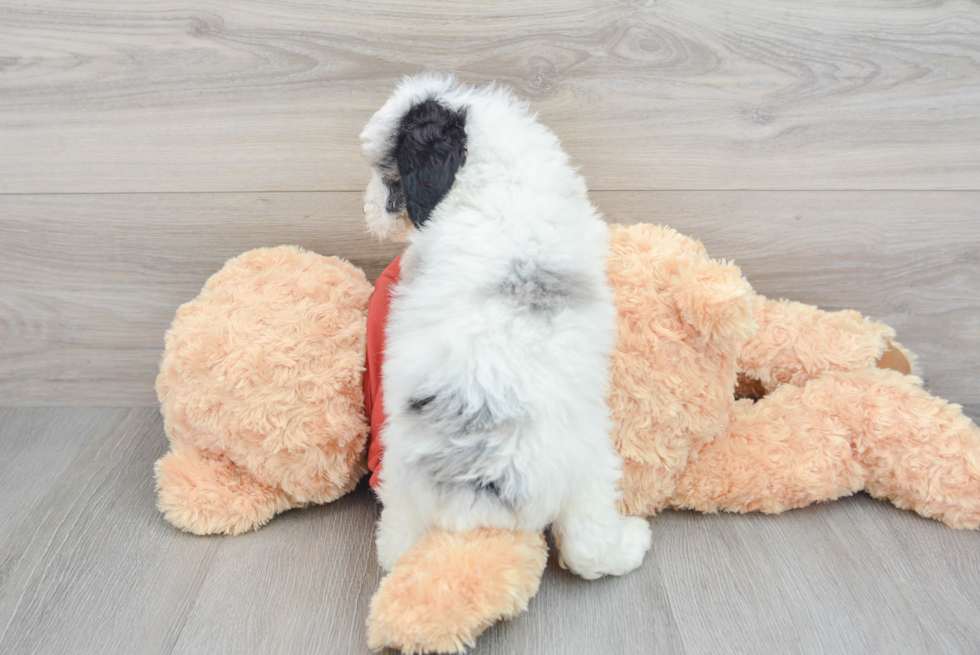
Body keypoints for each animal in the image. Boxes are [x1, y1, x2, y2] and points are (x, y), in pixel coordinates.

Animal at [360, 74, 652, 580]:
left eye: (390, 178)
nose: (369, 208)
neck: (490, 171)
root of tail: (481, 484)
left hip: (404, 485)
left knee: (397, 548)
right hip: (592, 463)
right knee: (588, 545)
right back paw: (631, 543)